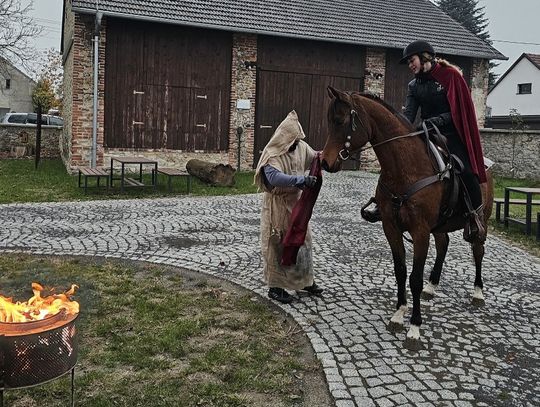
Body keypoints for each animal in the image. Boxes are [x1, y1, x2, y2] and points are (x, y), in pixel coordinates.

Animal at [320, 86, 494, 350]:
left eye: (340, 121)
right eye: (330, 121)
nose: (325, 161)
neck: (406, 169)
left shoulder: (420, 232)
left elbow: (414, 278)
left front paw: (414, 327)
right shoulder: (391, 228)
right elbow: (400, 270)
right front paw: (399, 314)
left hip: (481, 220)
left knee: (478, 250)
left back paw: (477, 292)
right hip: (440, 225)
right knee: (444, 245)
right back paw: (433, 286)